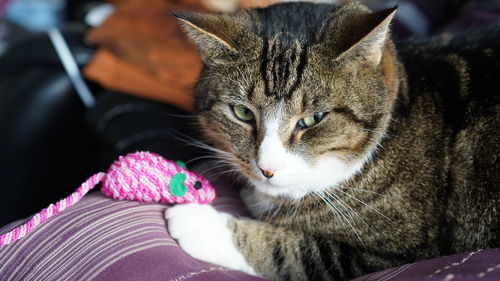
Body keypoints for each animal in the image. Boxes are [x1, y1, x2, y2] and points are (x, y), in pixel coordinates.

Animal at [165, 1, 500, 278]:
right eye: (242, 113)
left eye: (314, 119)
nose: (267, 168)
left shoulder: (400, 252)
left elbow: (299, 251)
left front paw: (198, 224)